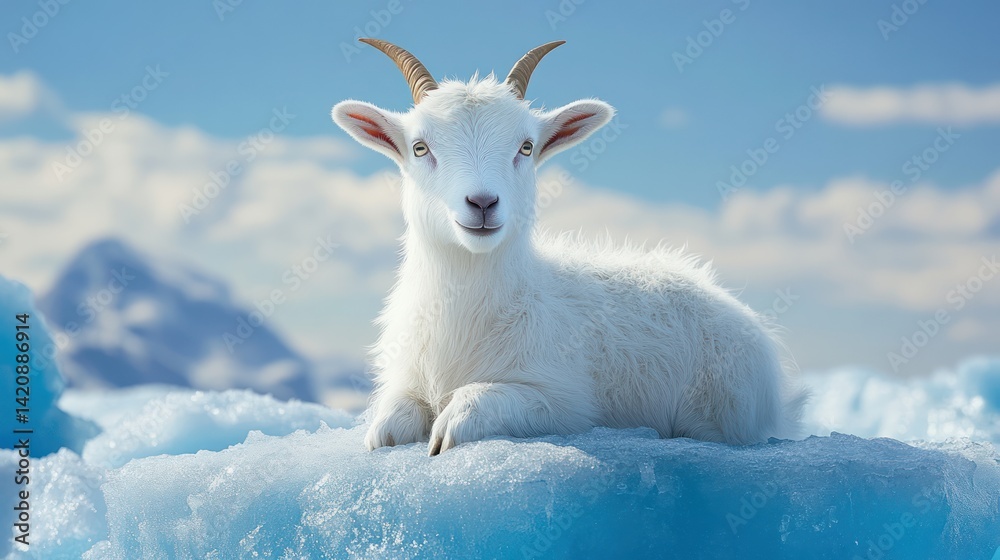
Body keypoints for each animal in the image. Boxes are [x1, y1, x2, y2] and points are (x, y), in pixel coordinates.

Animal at [332, 39, 807, 455]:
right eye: (419, 147)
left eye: (526, 147)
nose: (482, 203)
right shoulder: (407, 376)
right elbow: (387, 423)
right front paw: (388, 431)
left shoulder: (566, 402)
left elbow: (484, 400)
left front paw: (450, 424)